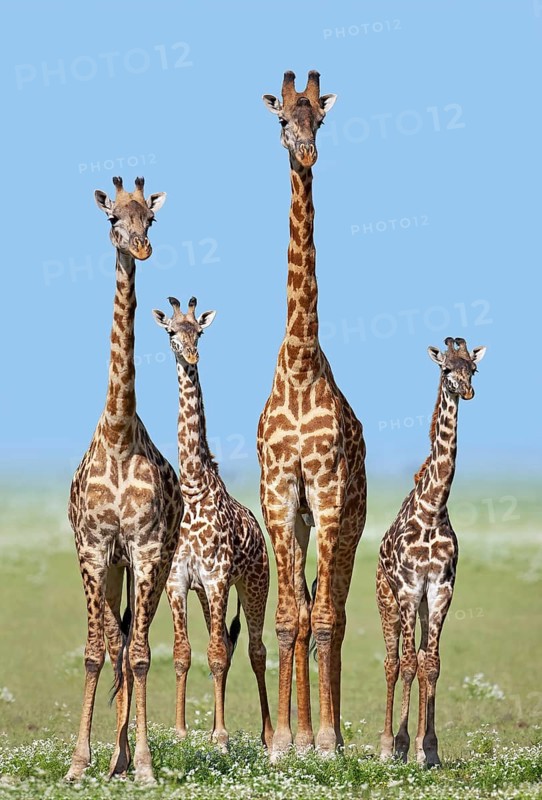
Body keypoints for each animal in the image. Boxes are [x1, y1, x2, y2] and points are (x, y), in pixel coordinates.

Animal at [153, 296, 274, 750]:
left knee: (255, 650)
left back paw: (268, 734)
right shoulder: (178, 580)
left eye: (199, 332)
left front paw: (220, 736)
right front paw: (182, 731)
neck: (192, 488)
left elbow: (220, 654)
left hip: (255, 583)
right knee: (221, 639)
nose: (190, 355)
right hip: (207, 595)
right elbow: (185, 654)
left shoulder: (219, 576)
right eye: (172, 331)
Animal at [376, 337, 486, 767]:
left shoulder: (440, 590)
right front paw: (402, 745)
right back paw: (384, 744)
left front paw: (431, 749)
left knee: (421, 658)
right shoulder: (408, 589)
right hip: (388, 602)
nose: (466, 391)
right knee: (392, 662)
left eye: (473, 368)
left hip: (423, 605)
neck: (432, 508)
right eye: (445, 369)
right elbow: (407, 664)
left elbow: (432, 664)